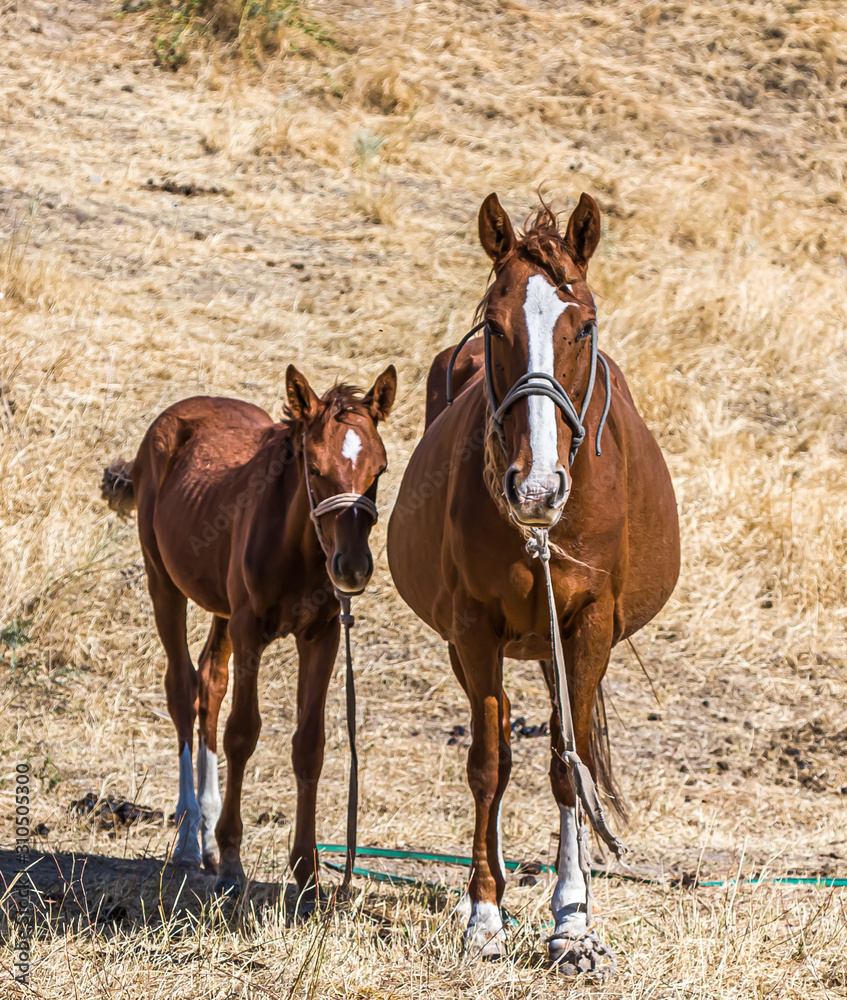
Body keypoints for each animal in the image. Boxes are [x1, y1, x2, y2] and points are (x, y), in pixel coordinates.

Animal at [101, 365, 396, 905]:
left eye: (379, 473)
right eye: (315, 469)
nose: (352, 567)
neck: (297, 546)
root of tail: (183, 410)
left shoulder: (322, 634)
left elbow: (310, 743)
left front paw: (307, 874)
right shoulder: (250, 630)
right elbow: (243, 732)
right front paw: (233, 864)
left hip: (221, 607)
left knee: (210, 682)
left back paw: (205, 834)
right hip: (163, 581)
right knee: (182, 688)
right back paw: (190, 842)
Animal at [387, 192, 679, 974]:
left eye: (585, 324)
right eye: (495, 325)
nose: (537, 487)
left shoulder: (588, 626)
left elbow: (566, 767)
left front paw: (572, 923)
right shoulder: (472, 628)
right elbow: (489, 764)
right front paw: (485, 916)